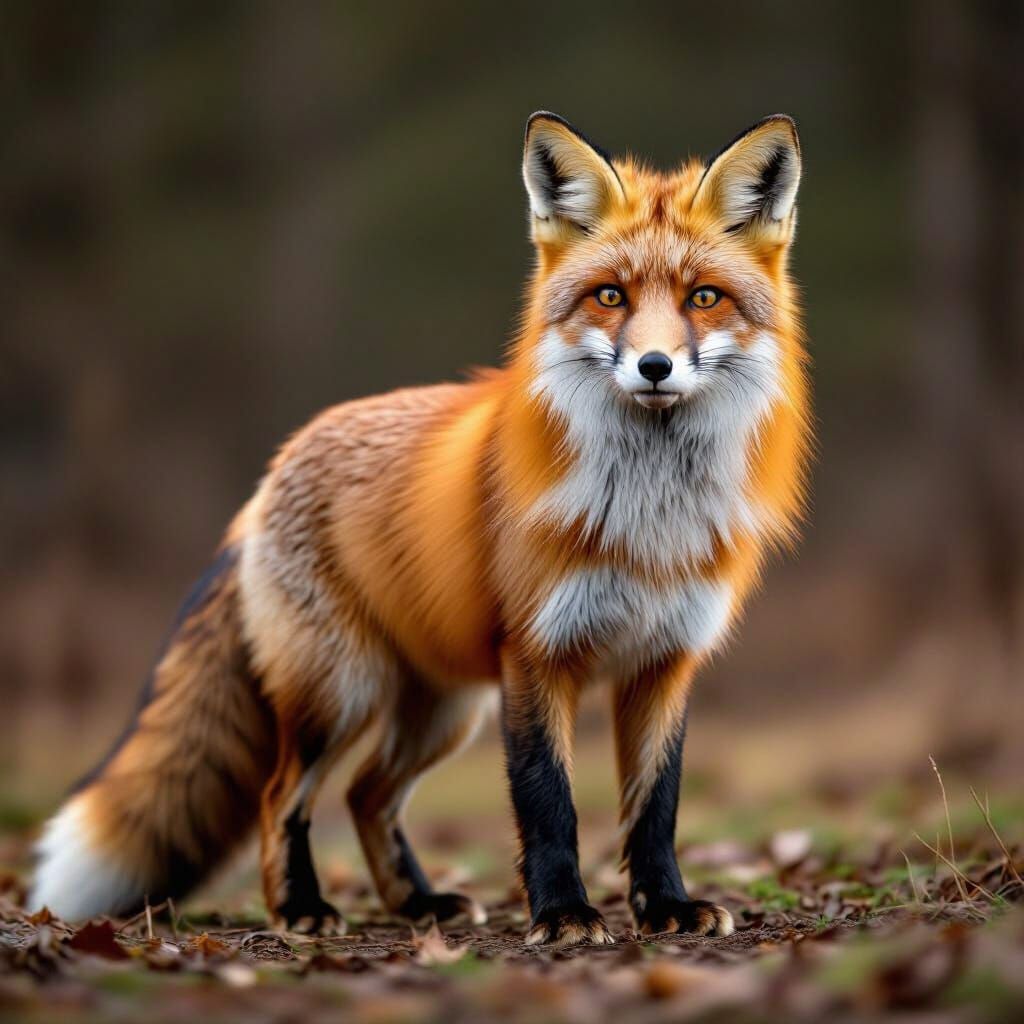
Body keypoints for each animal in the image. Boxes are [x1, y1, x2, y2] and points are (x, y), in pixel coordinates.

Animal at [30, 111, 810, 947]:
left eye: (704, 297)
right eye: (610, 296)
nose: (655, 366)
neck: (648, 521)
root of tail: (276, 467)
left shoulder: (665, 663)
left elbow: (655, 810)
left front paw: (666, 907)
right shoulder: (536, 656)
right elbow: (548, 802)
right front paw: (563, 913)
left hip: (440, 710)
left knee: (367, 795)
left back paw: (419, 905)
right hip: (341, 695)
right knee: (283, 795)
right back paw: (301, 908)